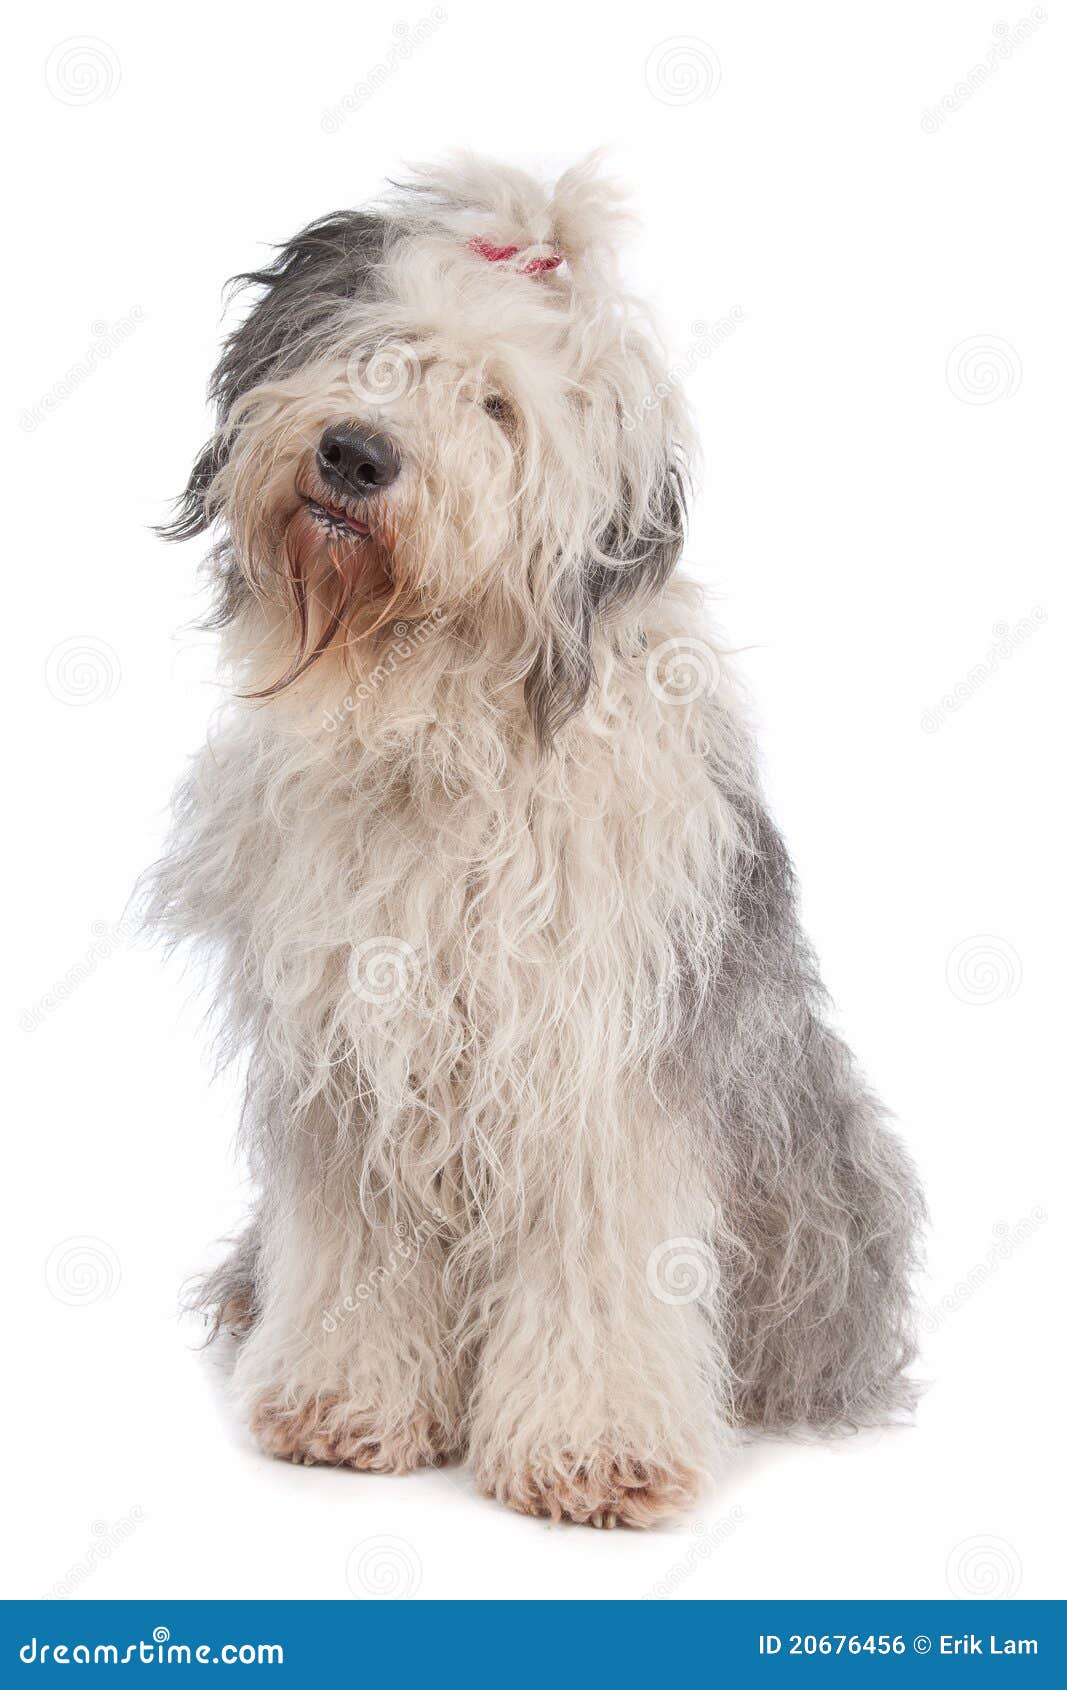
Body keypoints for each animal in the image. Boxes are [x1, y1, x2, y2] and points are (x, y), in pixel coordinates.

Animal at [146, 155, 919, 1534]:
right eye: (379, 349)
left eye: (497, 407)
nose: (355, 453)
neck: (439, 719)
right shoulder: (351, 1056)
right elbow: (356, 1246)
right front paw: (342, 1406)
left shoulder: (601, 1072)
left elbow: (601, 1261)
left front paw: (594, 1453)